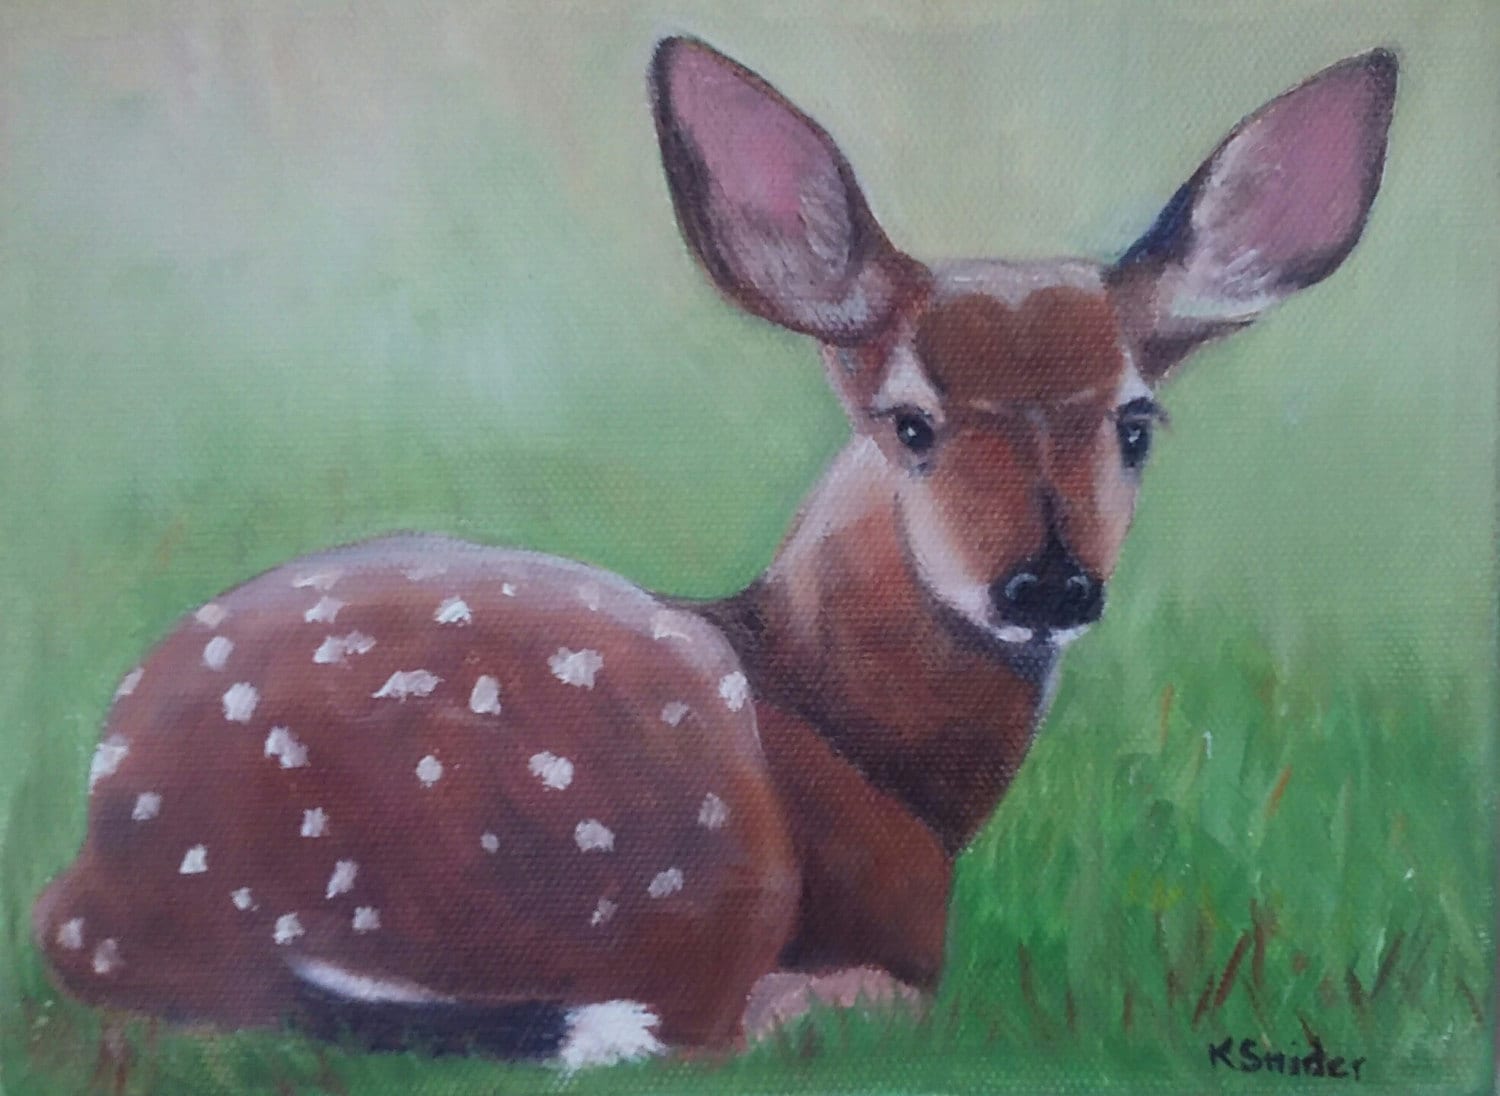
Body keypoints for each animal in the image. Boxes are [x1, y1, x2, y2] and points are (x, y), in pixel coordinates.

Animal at [33, 36, 1396, 1070]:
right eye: (908, 422)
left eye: (1136, 422)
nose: (1050, 580)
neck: (859, 729)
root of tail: (119, 892)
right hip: (685, 853)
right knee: (714, 1026)